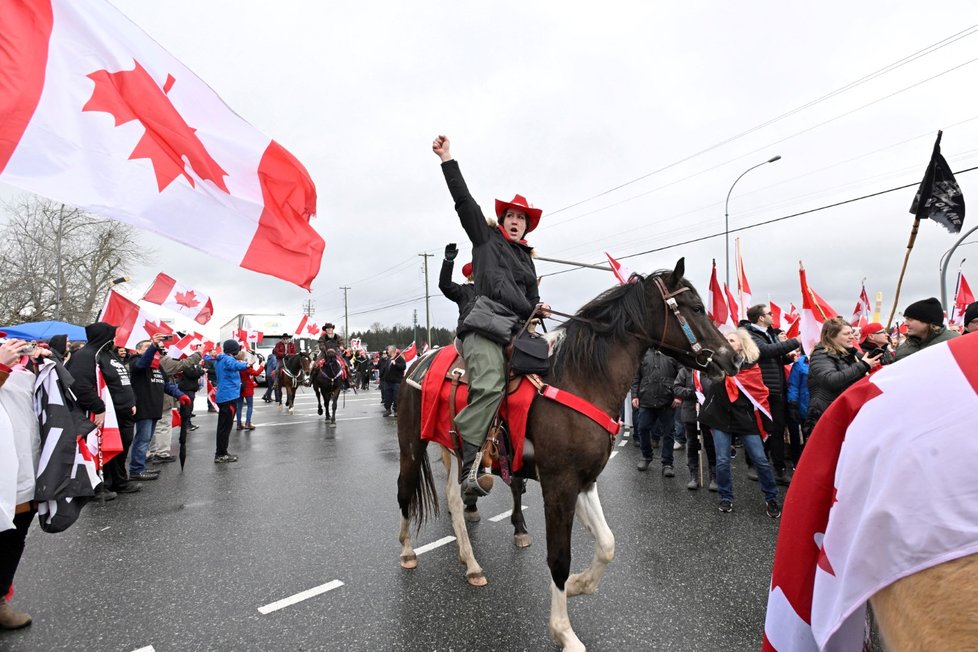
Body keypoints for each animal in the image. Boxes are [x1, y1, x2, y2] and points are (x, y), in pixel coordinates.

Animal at [392, 258, 736, 648]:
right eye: (696, 308)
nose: (734, 358)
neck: (581, 378)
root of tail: (418, 361)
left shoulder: (584, 481)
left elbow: (607, 544)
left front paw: (576, 586)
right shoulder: (559, 484)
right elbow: (559, 557)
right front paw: (563, 631)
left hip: (453, 448)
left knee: (453, 498)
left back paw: (472, 564)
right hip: (412, 444)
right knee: (405, 491)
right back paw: (408, 552)